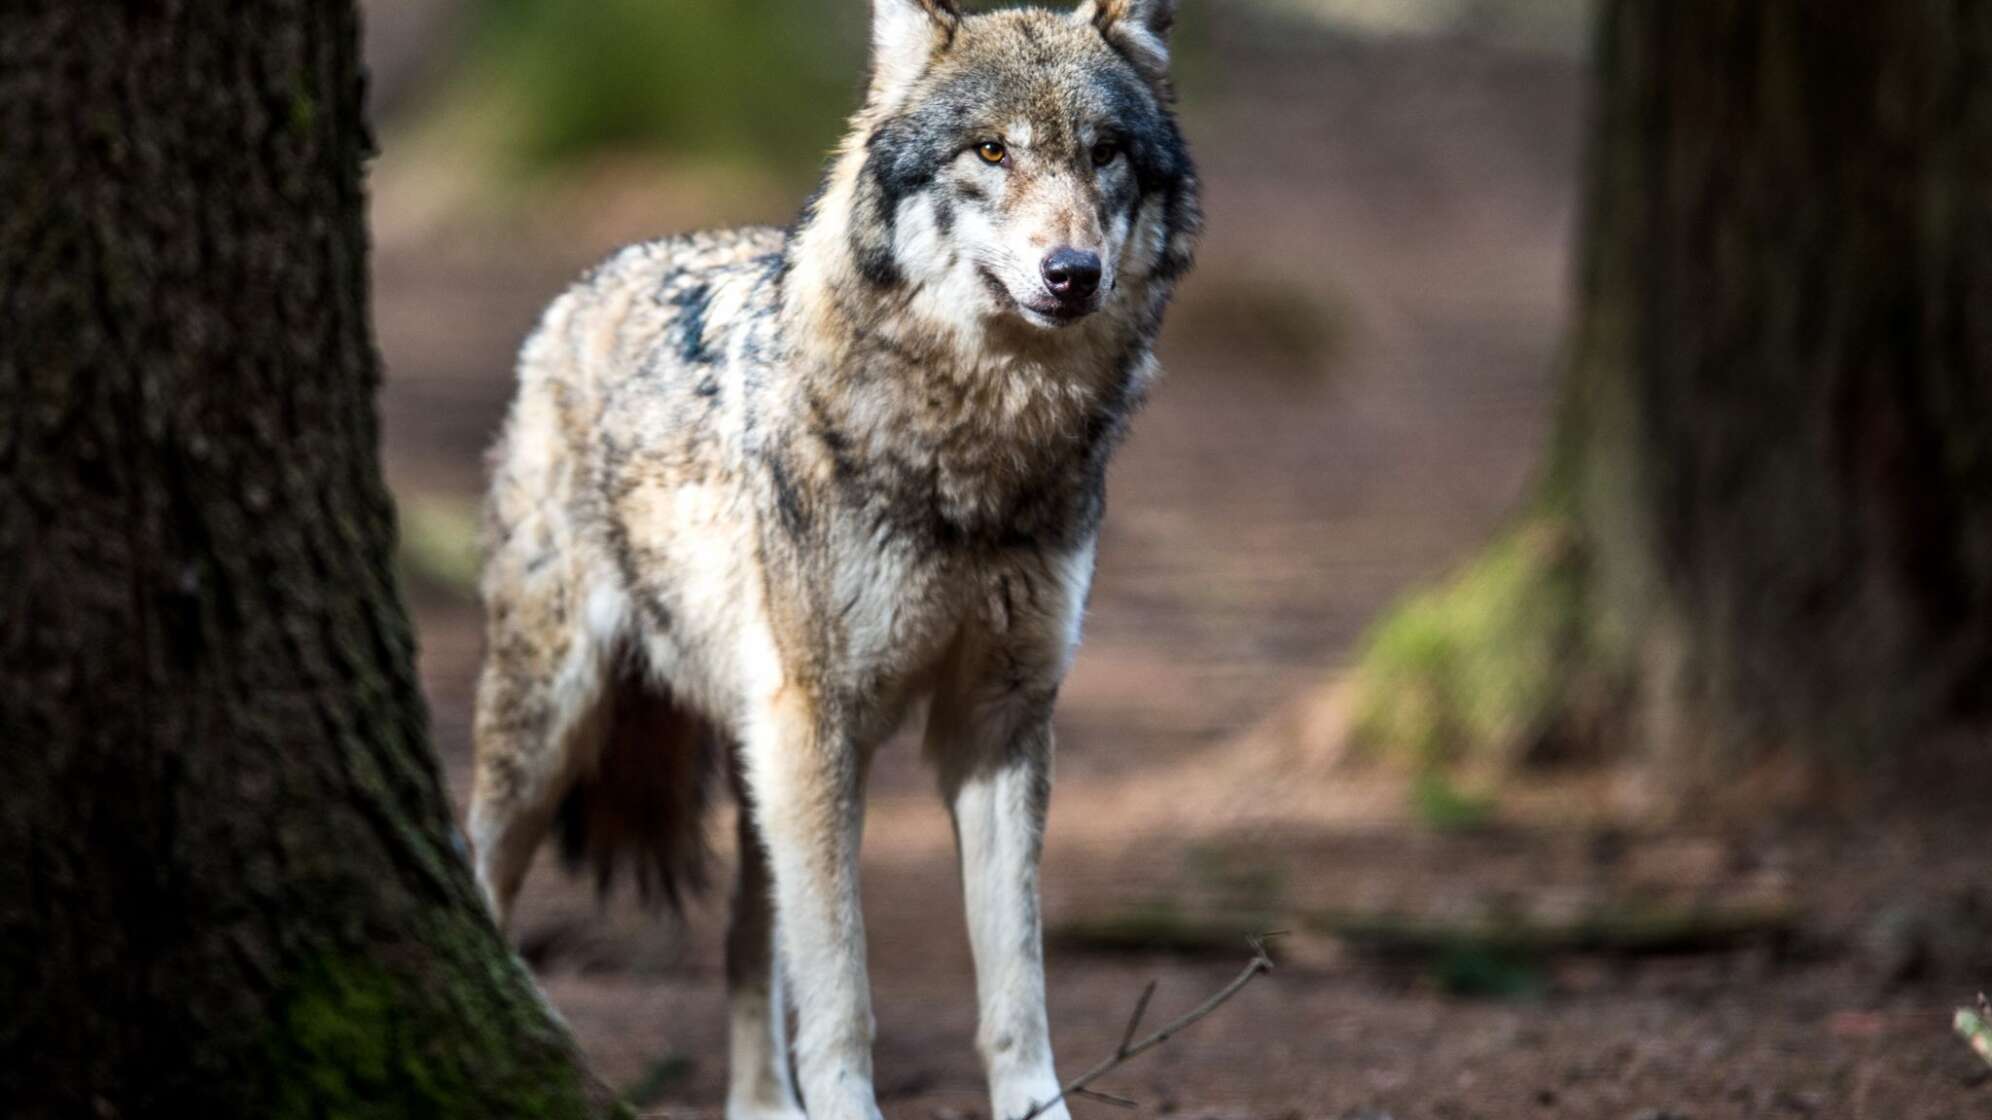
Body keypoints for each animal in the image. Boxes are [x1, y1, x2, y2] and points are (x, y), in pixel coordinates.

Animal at [465, 2, 1200, 1118]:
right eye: (991, 151)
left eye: (1104, 153)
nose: (1073, 273)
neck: (978, 455)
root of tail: (586, 285)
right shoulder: (823, 721)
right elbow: (843, 988)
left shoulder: (999, 721)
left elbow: (1016, 990)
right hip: (561, 726)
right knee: (481, 876)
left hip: (761, 759)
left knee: (743, 946)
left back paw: (764, 1107)